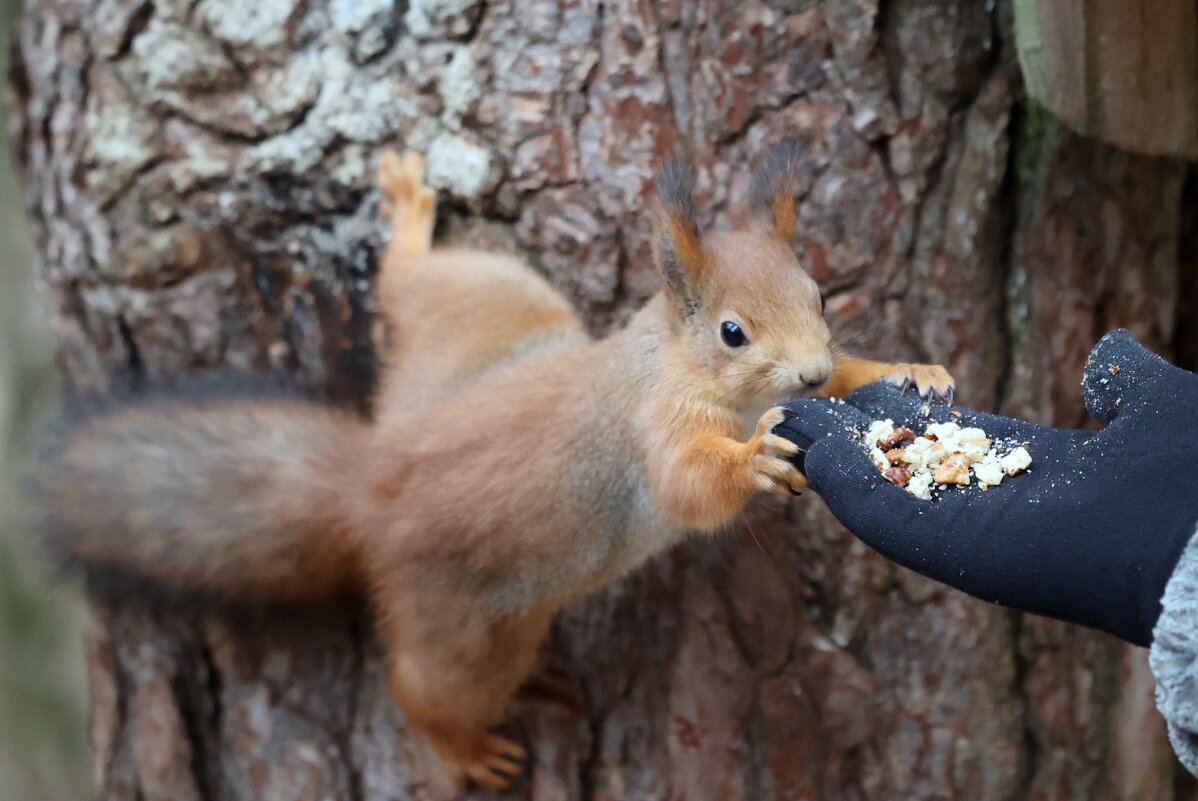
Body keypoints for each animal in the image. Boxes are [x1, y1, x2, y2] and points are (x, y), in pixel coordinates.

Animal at [37, 141, 953, 785]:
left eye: (820, 296)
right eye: (732, 332)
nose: (806, 373)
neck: (673, 359)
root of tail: (372, 479)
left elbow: (858, 375)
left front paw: (911, 369)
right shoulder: (654, 424)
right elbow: (687, 485)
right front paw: (758, 457)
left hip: (489, 319)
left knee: (420, 288)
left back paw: (408, 223)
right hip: (470, 624)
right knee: (428, 689)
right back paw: (464, 748)